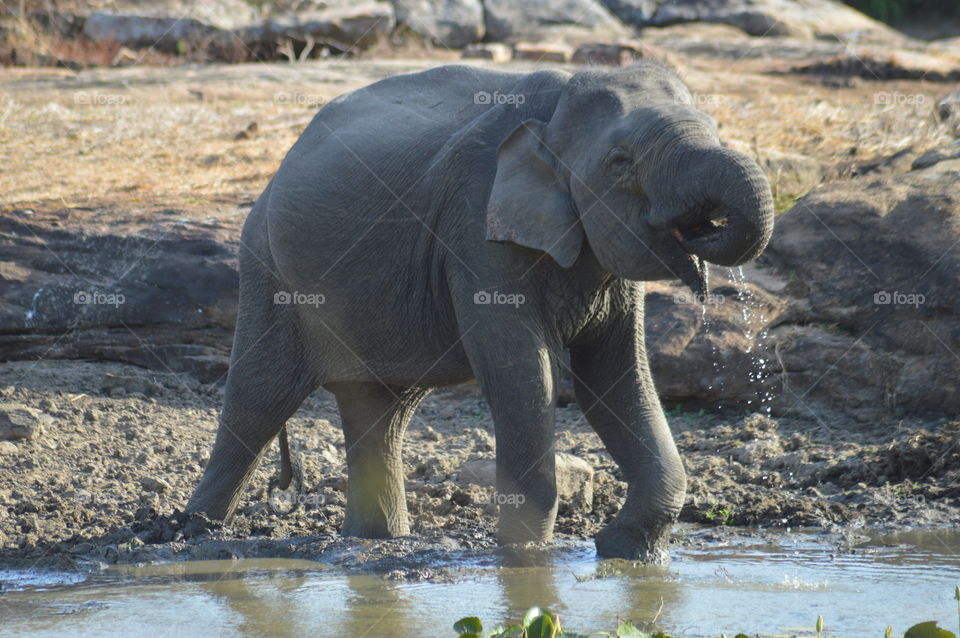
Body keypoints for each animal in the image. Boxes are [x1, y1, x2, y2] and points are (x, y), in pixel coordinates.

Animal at [186, 60, 772, 560]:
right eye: (620, 161)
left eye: (716, 129)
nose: (703, 231)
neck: (558, 104)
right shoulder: (475, 223)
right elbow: (525, 377)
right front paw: (525, 560)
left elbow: (617, 380)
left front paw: (623, 552)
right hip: (267, 271)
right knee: (258, 397)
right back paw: (190, 534)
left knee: (379, 409)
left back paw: (375, 542)